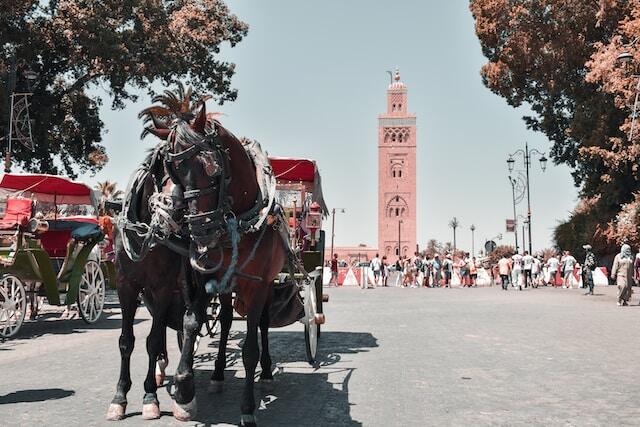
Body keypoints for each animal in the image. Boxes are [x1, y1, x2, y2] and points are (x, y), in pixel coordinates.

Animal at [141, 88, 290, 427]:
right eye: (172, 172)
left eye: (211, 166)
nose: (202, 233)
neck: (240, 220)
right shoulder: (204, 277)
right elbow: (191, 322)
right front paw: (184, 389)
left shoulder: (258, 284)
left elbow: (249, 348)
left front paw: (248, 407)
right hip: (226, 287)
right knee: (224, 321)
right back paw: (219, 373)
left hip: (266, 284)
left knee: (262, 324)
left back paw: (266, 370)